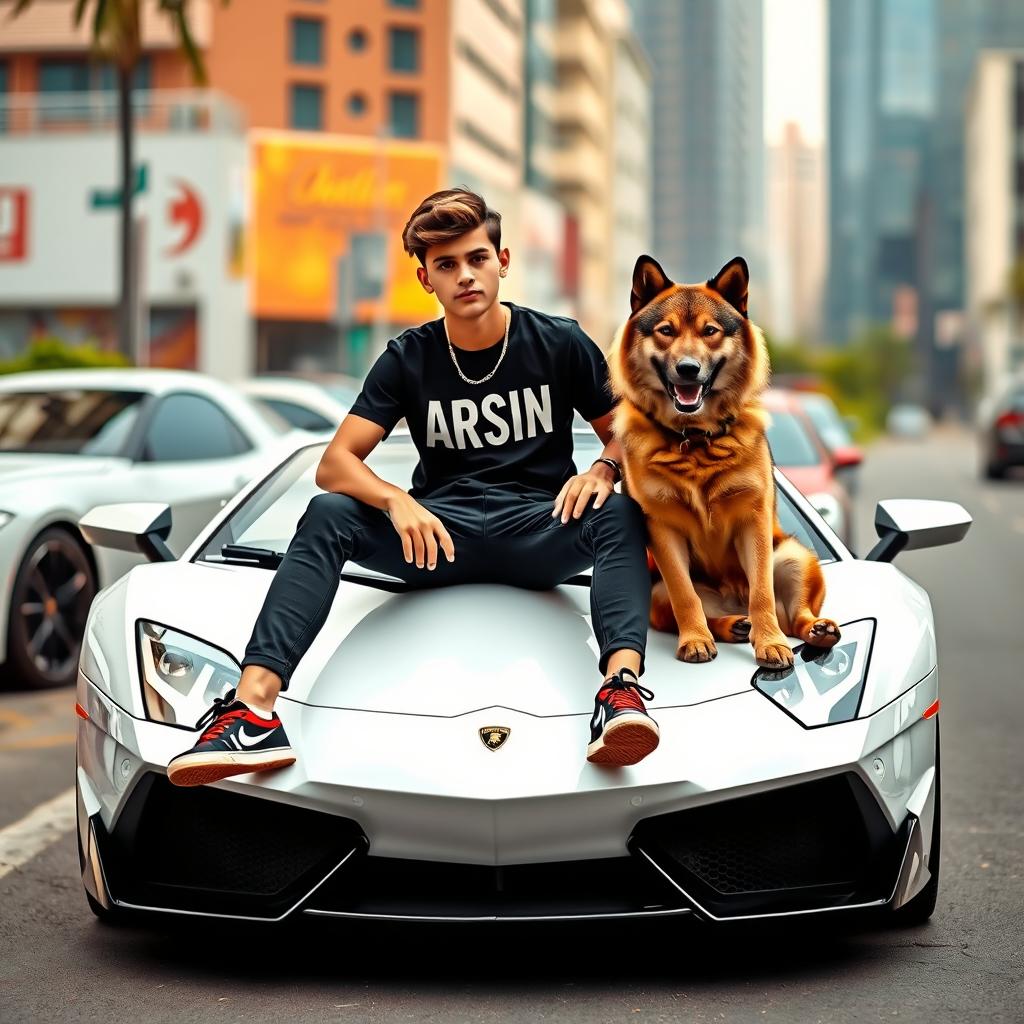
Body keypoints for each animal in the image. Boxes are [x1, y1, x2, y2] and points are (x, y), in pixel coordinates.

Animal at [606, 256, 839, 667]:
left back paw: (813, 629)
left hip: (794, 558)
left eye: (710, 331)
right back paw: (730, 626)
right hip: (655, 591)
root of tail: (732, 600)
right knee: (701, 608)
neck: (695, 439)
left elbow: (762, 592)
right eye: (666, 331)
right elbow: (686, 596)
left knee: (794, 616)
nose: (687, 368)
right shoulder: (662, 529)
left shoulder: (753, 519)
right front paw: (695, 640)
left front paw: (770, 643)